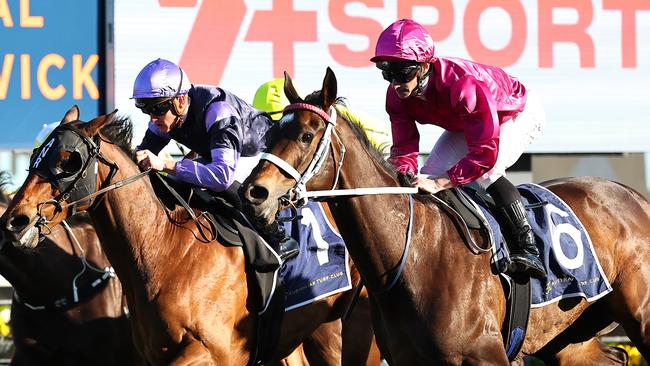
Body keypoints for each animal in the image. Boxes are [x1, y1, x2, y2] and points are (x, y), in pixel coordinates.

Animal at [239, 68, 648, 364]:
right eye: (270, 134)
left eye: (306, 136)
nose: (253, 193)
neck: (415, 257)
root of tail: (634, 195)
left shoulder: (486, 356)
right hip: (568, 337)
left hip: (640, 318)